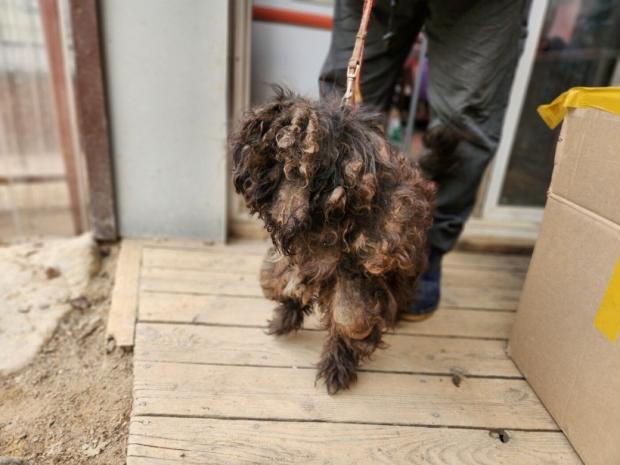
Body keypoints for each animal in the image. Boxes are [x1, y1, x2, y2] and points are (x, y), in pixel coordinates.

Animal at [230, 89, 434, 394]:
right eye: (276, 156)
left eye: (307, 165)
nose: (286, 211)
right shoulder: (295, 258)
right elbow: (280, 280)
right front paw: (286, 315)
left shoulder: (358, 268)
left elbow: (350, 317)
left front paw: (337, 366)